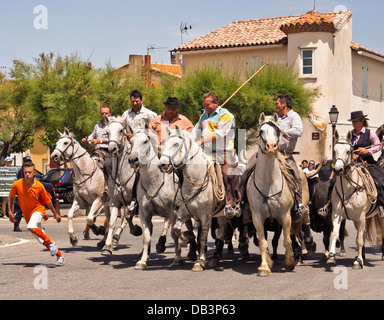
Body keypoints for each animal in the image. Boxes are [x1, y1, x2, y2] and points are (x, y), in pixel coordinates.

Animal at [158, 126, 225, 272]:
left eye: (176, 144)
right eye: (165, 143)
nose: (162, 165)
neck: (196, 181)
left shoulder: (206, 217)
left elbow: (203, 238)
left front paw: (200, 262)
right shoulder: (184, 212)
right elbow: (177, 230)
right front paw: (188, 238)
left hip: (221, 216)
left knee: (222, 234)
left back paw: (216, 257)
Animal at [246, 114, 296, 276]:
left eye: (278, 131)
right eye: (261, 131)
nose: (271, 147)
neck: (268, 182)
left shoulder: (285, 216)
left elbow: (287, 240)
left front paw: (290, 262)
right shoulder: (257, 217)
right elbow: (262, 242)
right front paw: (264, 266)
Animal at [326, 129, 382, 268]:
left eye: (348, 151)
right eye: (334, 150)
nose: (338, 169)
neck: (346, 189)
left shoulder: (360, 217)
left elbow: (359, 240)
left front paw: (358, 261)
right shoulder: (336, 214)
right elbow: (334, 234)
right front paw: (331, 256)